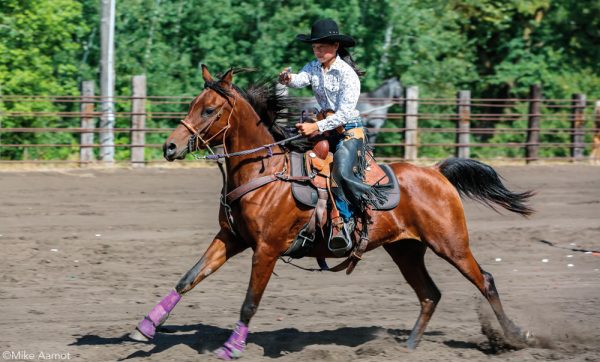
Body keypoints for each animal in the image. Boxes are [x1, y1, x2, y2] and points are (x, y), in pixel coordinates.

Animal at [130, 66, 536, 360]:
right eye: (192, 105)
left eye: (210, 109)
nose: (169, 147)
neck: (264, 171)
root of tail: (435, 172)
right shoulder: (232, 238)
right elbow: (188, 278)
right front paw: (144, 327)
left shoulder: (267, 249)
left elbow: (249, 302)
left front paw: (231, 348)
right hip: (406, 250)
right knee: (429, 294)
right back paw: (407, 349)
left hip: (451, 244)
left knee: (485, 281)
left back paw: (515, 337)